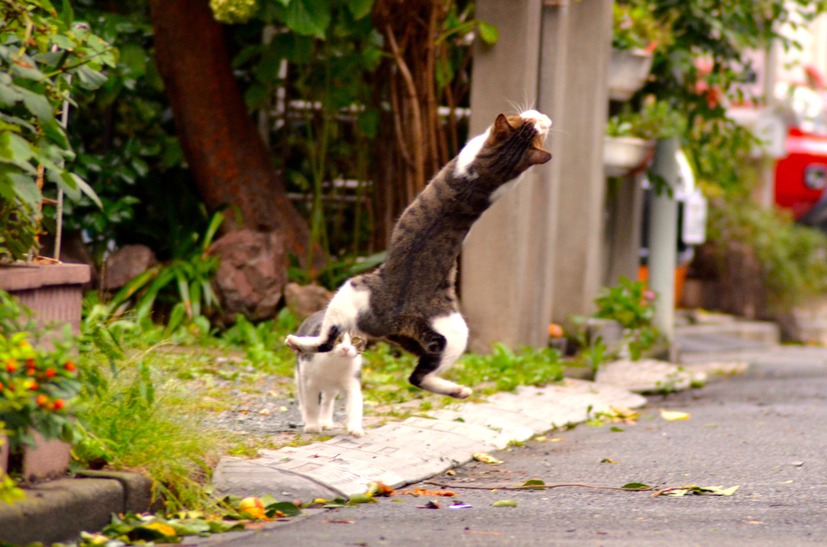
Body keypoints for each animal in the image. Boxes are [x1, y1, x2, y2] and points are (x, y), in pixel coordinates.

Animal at [294, 310, 366, 438]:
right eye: (338, 339)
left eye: (355, 340)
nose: (346, 349)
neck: (334, 363)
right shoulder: (309, 382)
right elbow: (311, 404)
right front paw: (312, 426)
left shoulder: (352, 379)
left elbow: (355, 403)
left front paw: (355, 428)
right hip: (300, 374)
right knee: (303, 397)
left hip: (331, 387)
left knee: (327, 400)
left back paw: (324, 421)